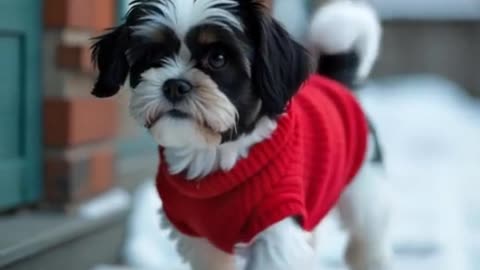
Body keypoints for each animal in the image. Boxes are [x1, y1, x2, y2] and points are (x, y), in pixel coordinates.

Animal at [89, 1, 390, 268]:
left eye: (218, 59)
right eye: (153, 56)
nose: (174, 85)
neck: (217, 156)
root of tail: (333, 81)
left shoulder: (277, 224)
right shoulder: (199, 238)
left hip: (363, 188)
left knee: (367, 242)